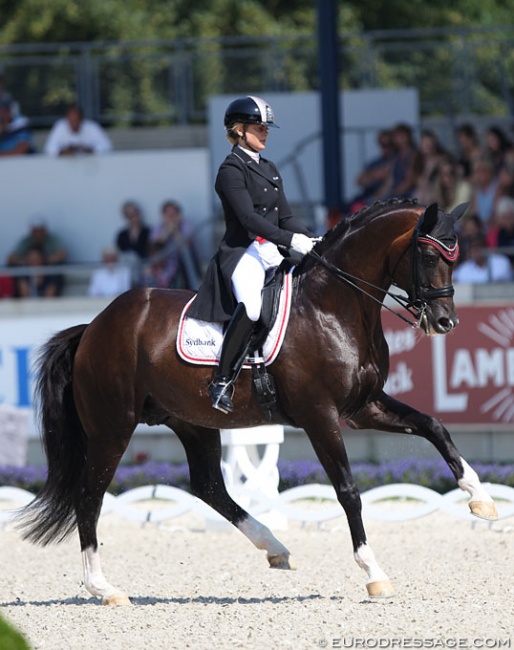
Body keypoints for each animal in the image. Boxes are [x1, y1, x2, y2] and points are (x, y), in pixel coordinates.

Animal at [17, 197, 496, 604]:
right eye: (430, 257)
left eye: (455, 258)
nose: (445, 322)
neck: (333, 306)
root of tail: (95, 325)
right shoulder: (320, 415)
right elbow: (347, 490)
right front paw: (373, 572)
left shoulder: (363, 407)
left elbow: (433, 425)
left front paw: (479, 497)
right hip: (112, 428)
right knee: (90, 495)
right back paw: (104, 588)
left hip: (191, 421)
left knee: (209, 486)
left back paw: (275, 547)